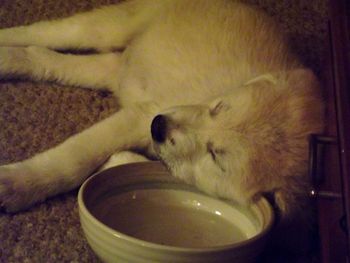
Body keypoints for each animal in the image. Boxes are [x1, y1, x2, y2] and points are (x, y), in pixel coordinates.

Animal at [0, 0, 322, 219]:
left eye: (215, 157)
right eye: (218, 107)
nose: (158, 125)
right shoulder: (140, 115)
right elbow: (74, 157)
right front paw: (16, 184)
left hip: (116, 69)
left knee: (46, 58)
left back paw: (9, 60)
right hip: (112, 26)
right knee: (44, 33)